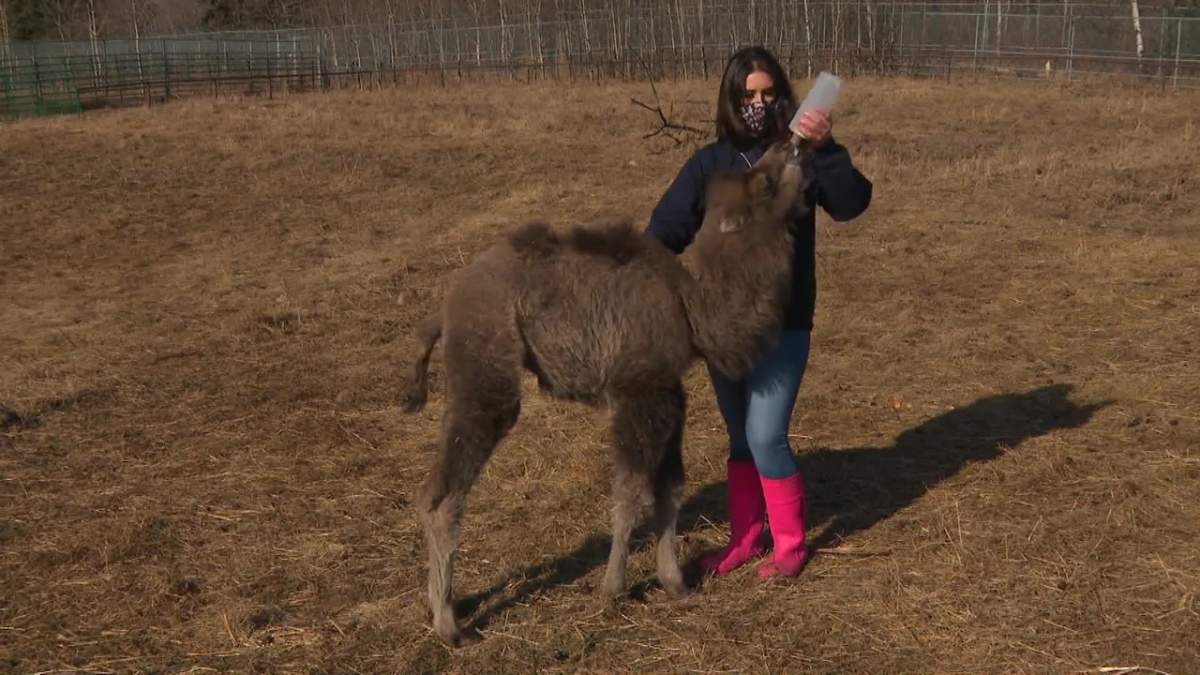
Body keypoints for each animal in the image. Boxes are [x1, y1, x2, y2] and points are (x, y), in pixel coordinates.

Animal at [400, 137, 813, 646]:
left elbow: (669, 486)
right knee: (443, 495)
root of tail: (444, 309)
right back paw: (449, 625)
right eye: (766, 181)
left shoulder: (669, 394)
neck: (690, 305)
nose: (793, 143)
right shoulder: (639, 391)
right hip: (486, 372)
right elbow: (631, 489)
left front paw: (675, 581)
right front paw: (614, 587)